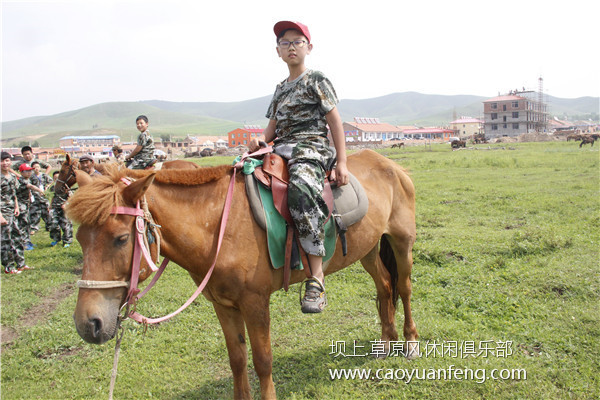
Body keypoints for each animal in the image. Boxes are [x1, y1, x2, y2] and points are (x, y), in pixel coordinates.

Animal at [68, 150, 418, 400]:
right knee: (384, 286)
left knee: (403, 288)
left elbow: (262, 361)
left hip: (402, 242)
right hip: (368, 248)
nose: (88, 323)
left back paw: (410, 342)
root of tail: (391, 165)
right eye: (80, 238)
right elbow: (237, 359)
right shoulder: (223, 305)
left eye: (120, 238)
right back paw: (386, 342)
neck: (217, 227)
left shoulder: (254, 302)